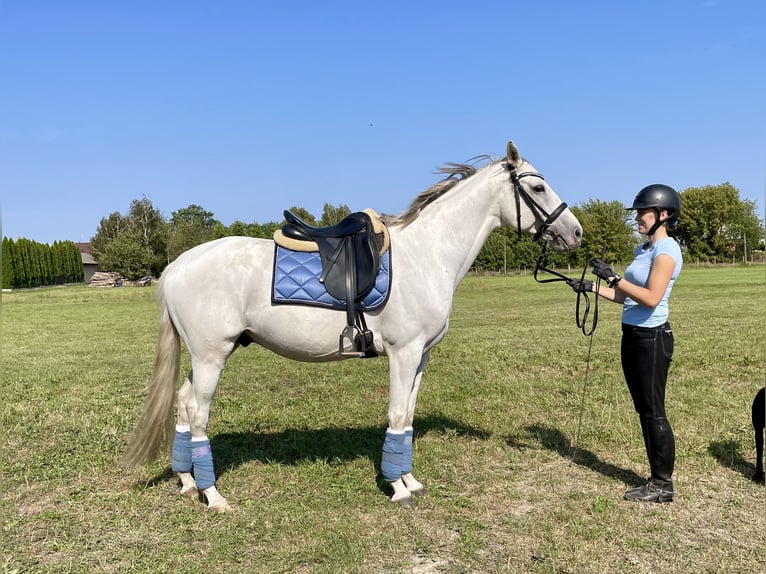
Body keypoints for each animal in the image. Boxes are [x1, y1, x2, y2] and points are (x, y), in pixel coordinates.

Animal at [124, 142, 584, 510]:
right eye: (538, 188)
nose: (576, 232)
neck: (428, 254)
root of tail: (175, 267)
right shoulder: (403, 353)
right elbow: (396, 413)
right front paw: (398, 488)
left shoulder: (421, 357)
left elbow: (409, 417)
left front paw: (410, 479)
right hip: (211, 357)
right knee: (199, 414)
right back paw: (213, 495)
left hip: (207, 356)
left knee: (183, 406)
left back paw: (188, 482)